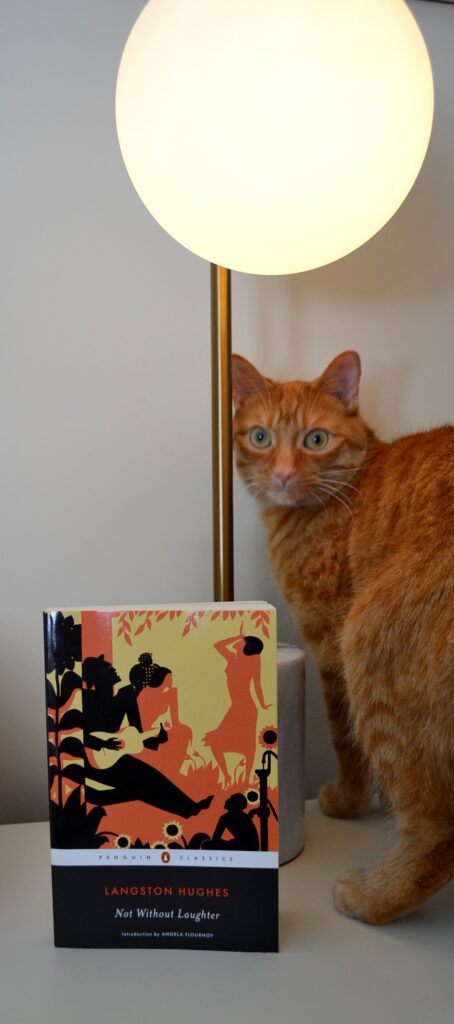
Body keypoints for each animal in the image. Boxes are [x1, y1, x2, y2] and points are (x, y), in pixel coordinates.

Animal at [232, 348, 452, 925]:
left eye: (315, 439)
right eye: (260, 436)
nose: (284, 474)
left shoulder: (329, 646)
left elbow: (343, 739)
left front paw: (349, 801)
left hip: (369, 645)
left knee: (437, 830)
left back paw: (371, 898)